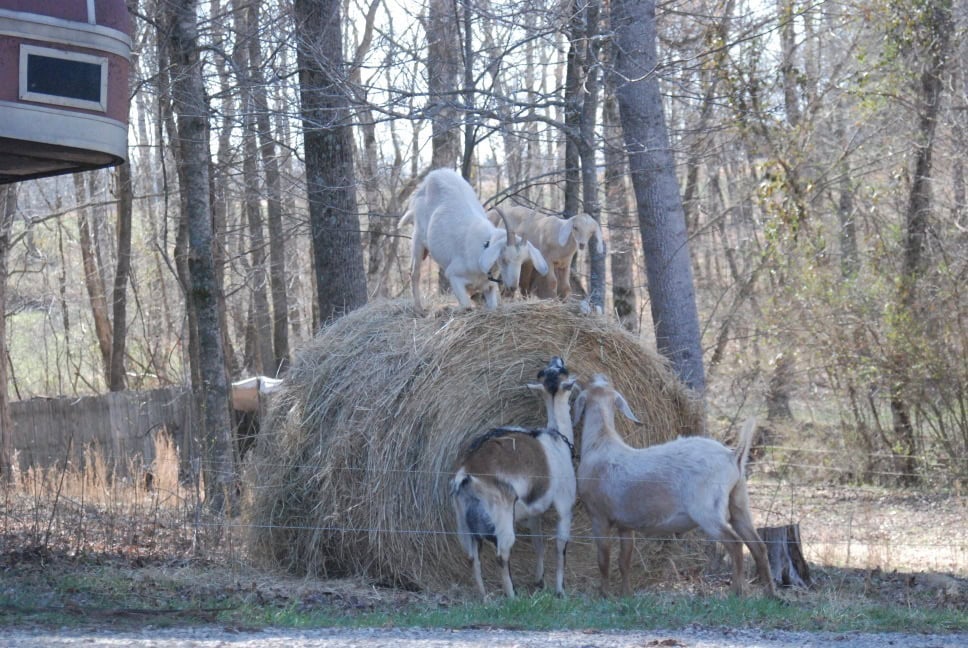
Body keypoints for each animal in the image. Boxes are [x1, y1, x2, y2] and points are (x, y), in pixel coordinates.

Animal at [398, 170, 548, 315]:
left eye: (522, 261)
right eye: (504, 259)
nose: (512, 287)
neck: (483, 248)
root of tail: (432, 176)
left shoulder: (489, 287)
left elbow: (491, 306)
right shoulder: (454, 275)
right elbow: (466, 305)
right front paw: (448, 309)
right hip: (418, 238)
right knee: (415, 273)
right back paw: (419, 309)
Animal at [450, 357, 577, 598]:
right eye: (561, 369)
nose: (557, 358)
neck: (557, 438)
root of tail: (468, 474)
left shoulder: (534, 511)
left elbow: (538, 544)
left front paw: (539, 581)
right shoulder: (564, 506)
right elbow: (560, 546)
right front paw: (560, 591)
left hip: (464, 524)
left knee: (473, 558)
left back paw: (484, 598)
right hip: (502, 519)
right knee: (502, 555)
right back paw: (512, 597)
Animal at [573, 374, 776, 598]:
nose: (596, 376)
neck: (601, 443)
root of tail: (732, 456)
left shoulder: (598, 515)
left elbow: (603, 559)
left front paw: (604, 594)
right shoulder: (625, 523)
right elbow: (624, 561)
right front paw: (626, 594)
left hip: (708, 510)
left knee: (735, 543)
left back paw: (737, 592)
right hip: (739, 502)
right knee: (758, 546)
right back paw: (770, 594)